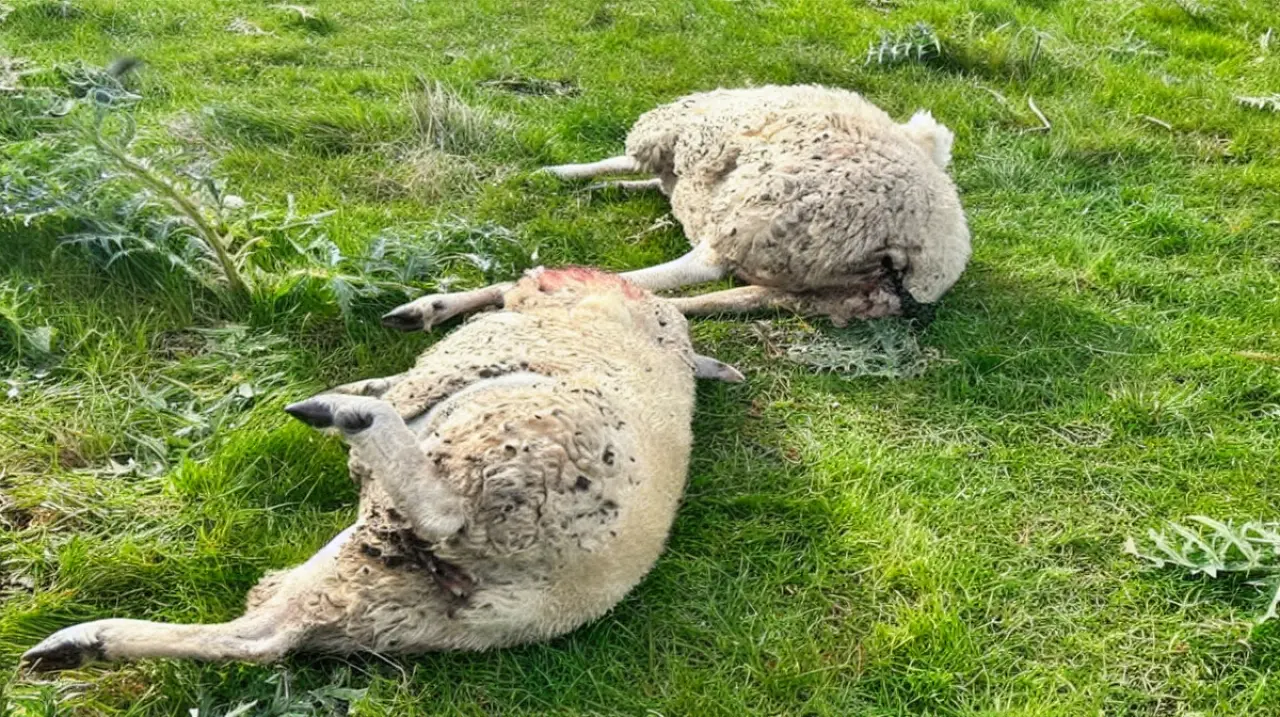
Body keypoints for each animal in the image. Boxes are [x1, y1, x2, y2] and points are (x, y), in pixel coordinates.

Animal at [21, 268, 742, 671]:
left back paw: (351, 416)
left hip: (511, 476)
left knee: (441, 510)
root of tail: (533, 599)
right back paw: (80, 645)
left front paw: (378, 367)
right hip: (376, 588)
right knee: (261, 640)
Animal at [381, 84, 970, 332]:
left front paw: (560, 175)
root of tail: (919, 254)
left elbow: (615, 157)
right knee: (714, 298)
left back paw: (440, 305)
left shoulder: (679, 141)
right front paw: (599, 187)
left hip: (768, 219)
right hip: (824, 290)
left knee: (696, 269)